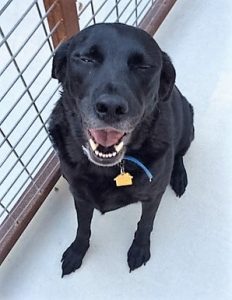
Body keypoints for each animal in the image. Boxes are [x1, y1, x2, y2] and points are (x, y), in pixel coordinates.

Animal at [48, 22, 194, 276]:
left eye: (143, 66)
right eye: (86, 59)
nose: (111, 107)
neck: (107, 168)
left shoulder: (153, 194)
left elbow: (145, 224)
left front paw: (139, 249)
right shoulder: (80, 194)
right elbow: (82, 227)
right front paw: (77, 252)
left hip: (188, 122)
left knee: (179, 155)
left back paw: (178, 176)